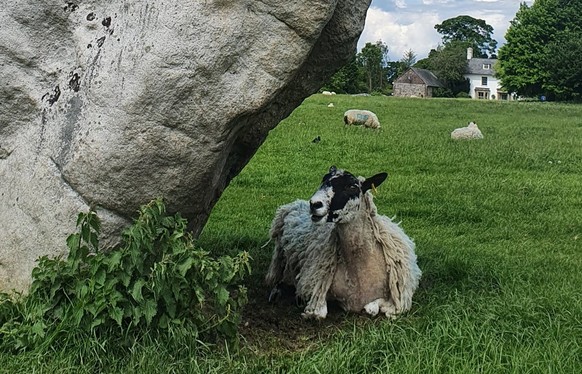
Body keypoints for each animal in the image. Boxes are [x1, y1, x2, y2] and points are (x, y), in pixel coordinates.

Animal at [266, 166, 422, 318]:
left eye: (352, 186)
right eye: (323, 180)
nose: (314, 204)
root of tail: (298, 202)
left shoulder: (398, 301)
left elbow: (373, 308)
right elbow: (320, 313)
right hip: (279, 258)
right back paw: (276, 292)